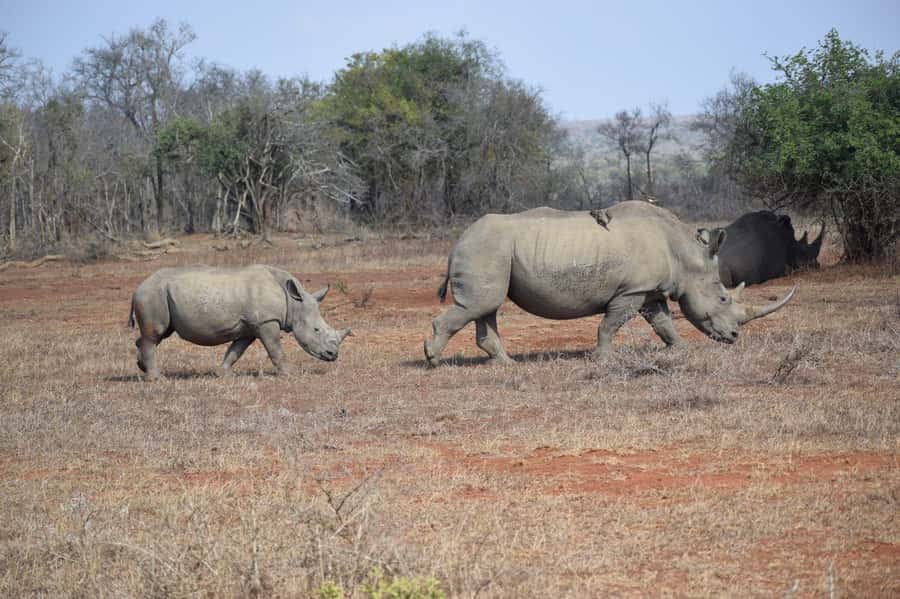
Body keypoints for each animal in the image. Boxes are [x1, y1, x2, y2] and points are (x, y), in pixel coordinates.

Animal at [128, 265, 351, 379]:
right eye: (316, 330)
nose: (333, 355)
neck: (293, 302)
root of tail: (138, 287)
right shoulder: (266, 321)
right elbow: (275, 350)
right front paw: (289, 375)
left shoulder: (251, 327)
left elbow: (236, 351)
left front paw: (223, 374)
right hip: (152, 294)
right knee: (154, 335)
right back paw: (157, 379)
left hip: (157, 295)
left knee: (156, 335)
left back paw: (142, 367)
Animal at [424, 201, 795, 366]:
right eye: (722, 299)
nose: (734, 337)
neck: (687, 255)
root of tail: (457, 241)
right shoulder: (631, 291)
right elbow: (609, 324)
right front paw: (603, 359)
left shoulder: (650, 291)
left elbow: (663, 323)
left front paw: (680, 350)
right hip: (484, 249)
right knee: (478, 305)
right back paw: (432, 359)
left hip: (491, 252)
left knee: (486, 306)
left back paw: (507, 364)